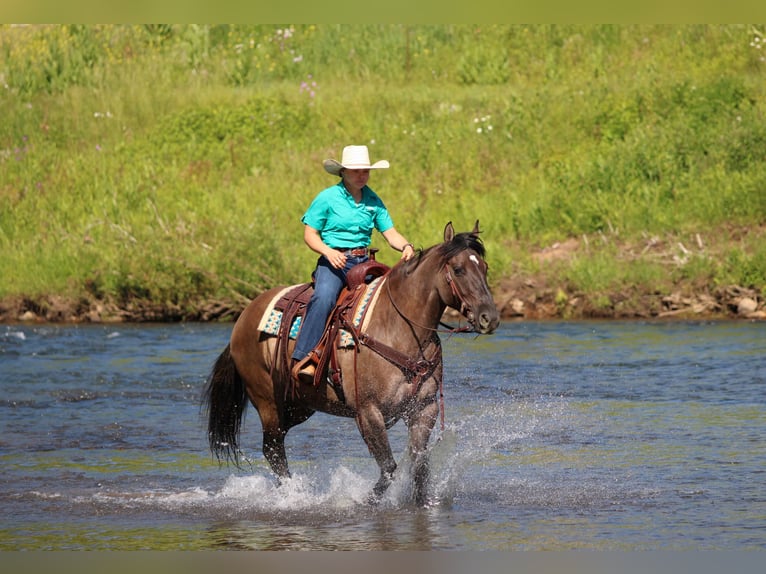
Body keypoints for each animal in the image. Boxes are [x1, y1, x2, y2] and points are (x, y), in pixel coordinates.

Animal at [202, 220, 499, 506]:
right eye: (458, 270)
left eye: (484, 267)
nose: (490, 318)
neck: (398, 327)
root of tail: (242, 318)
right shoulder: (368, 411)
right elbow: (389, 468)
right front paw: (364, 500)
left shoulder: (424, 409)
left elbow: (419, 466)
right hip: (268, 402)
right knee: (273, 449)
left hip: (299, 404)